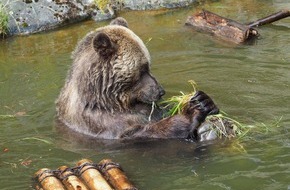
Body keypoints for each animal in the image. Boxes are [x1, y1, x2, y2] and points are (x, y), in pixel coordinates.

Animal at [55, 17, 219, 140]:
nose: (160, 91)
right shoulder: (100, 124)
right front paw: (190, 112)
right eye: (142, 69)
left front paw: (203, 100)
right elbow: (142, 131)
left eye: (148, 66)